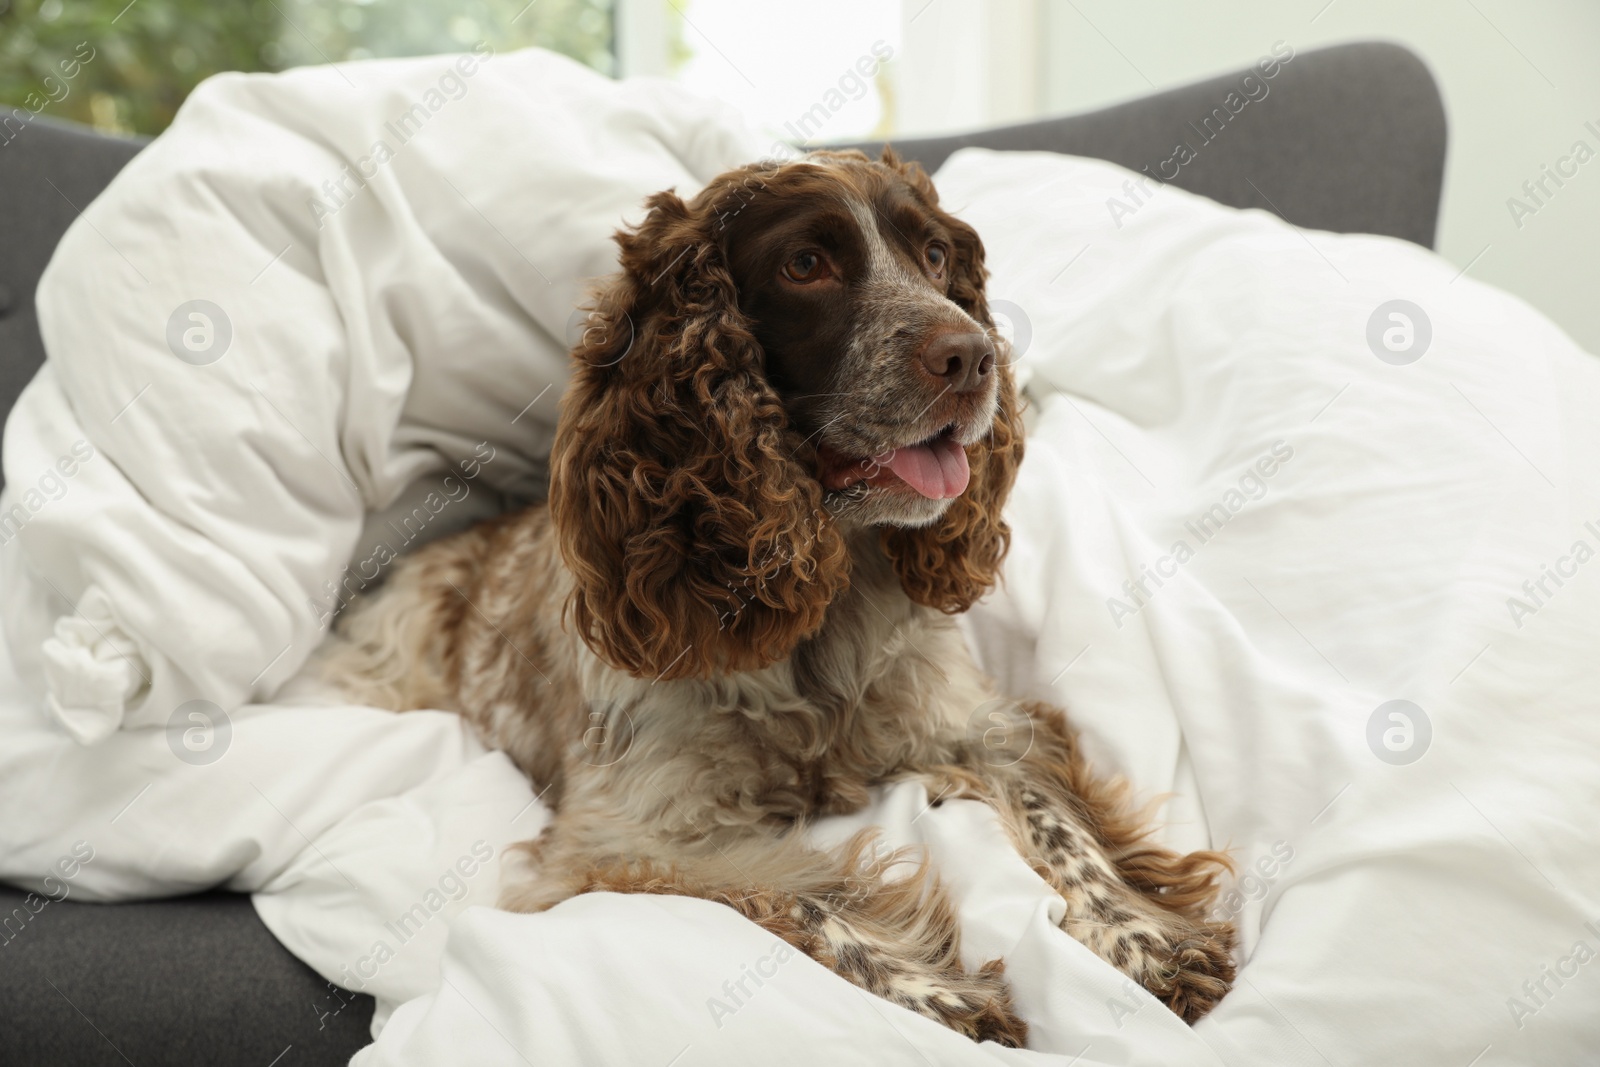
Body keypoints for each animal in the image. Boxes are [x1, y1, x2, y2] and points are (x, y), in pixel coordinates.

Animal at [328, 147, 1235, 1043]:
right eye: (805, 265)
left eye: (934, 256)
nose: (974, 356)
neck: (813, 611)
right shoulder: (617, 843)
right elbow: (799, 899)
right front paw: (937, 994)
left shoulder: (978, 724)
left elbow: (1060, 824)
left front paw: (1142, 938)